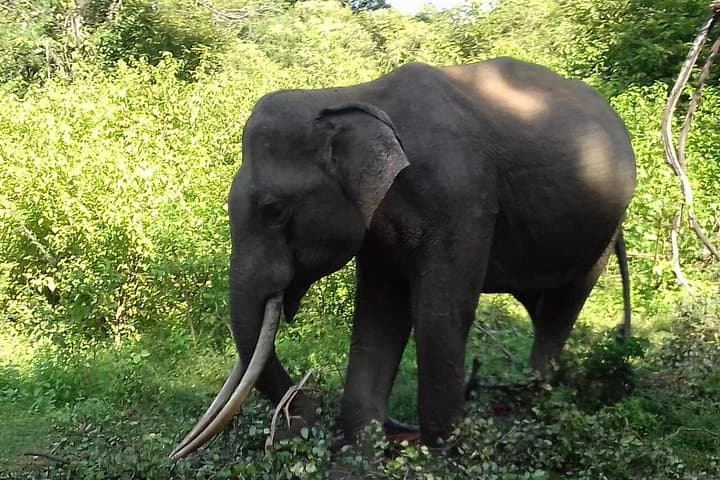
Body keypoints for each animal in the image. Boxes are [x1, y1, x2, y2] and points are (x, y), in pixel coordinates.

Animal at [170, 57, 636, 459]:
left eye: (273, 210)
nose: (298, 419)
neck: (354, 95)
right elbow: (379, 313)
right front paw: (360, 445)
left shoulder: (463, 200)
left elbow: (438, 312)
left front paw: (441, 451)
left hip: (604, 226)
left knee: (561, 308)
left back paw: (534, 406)